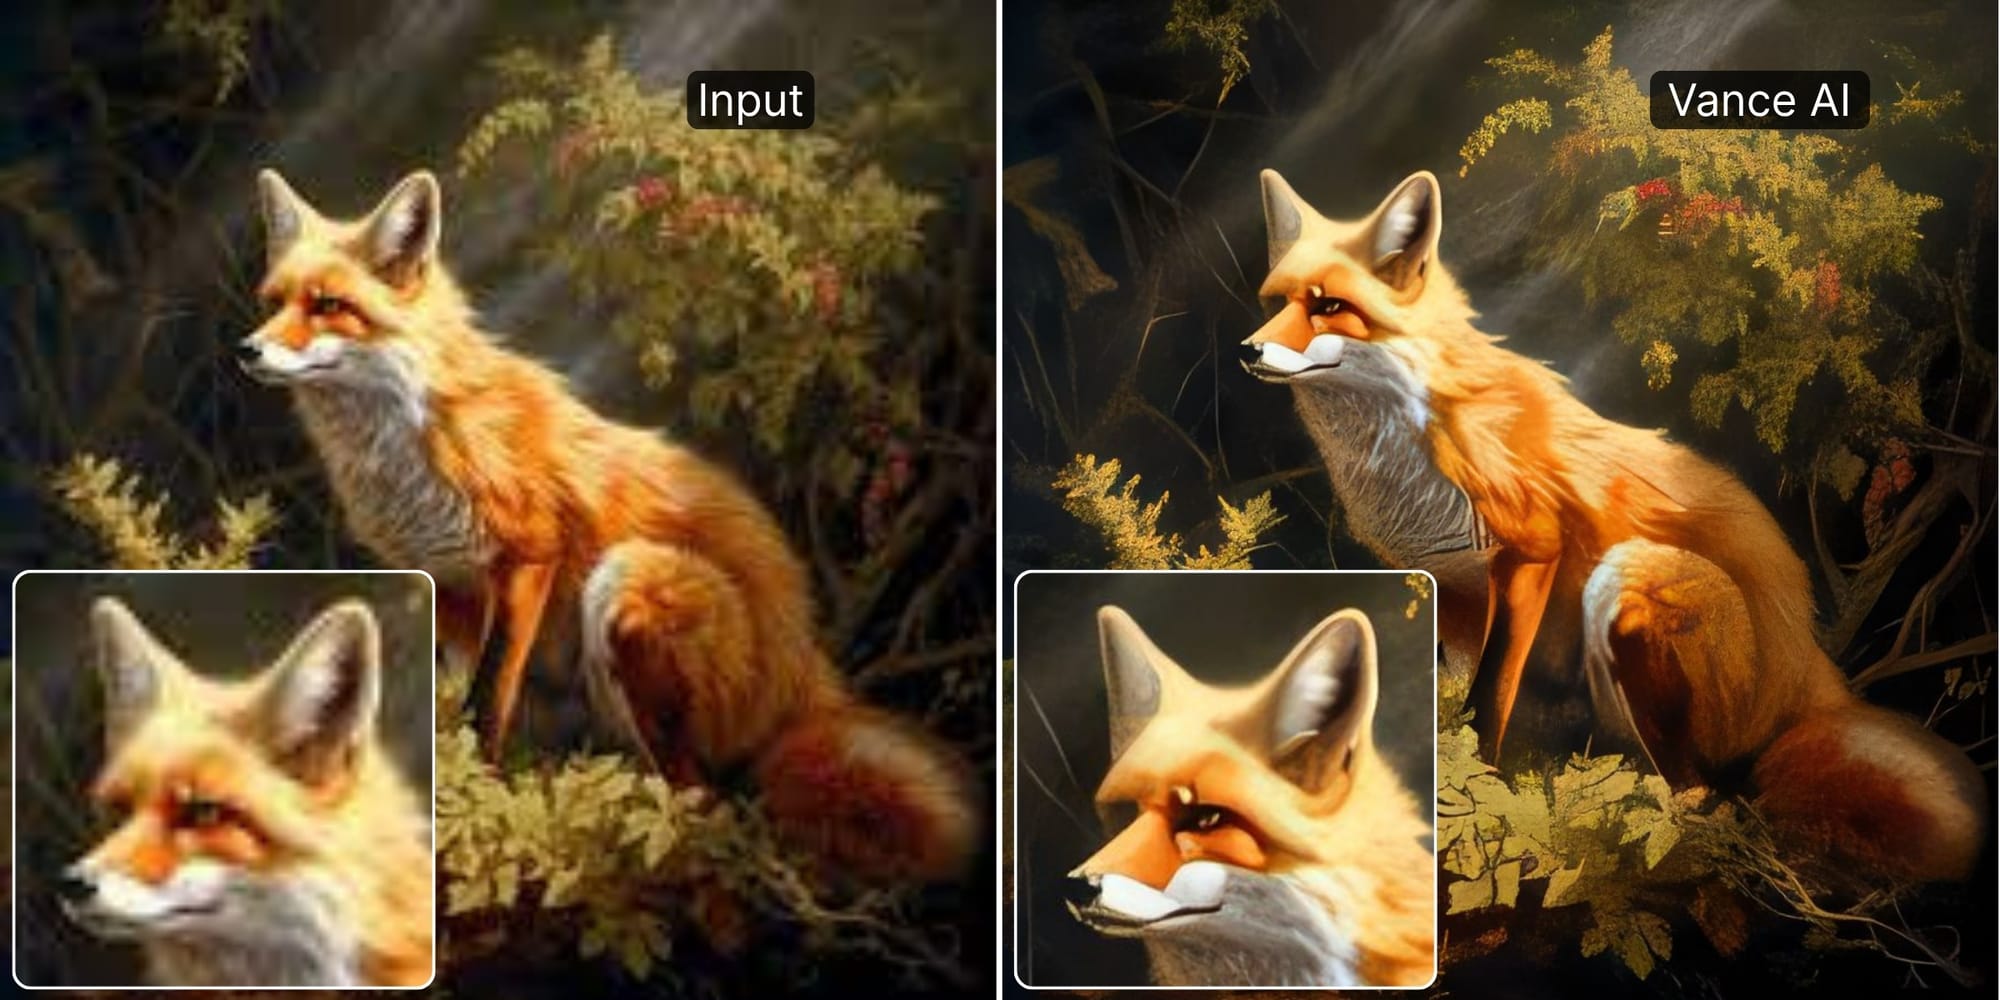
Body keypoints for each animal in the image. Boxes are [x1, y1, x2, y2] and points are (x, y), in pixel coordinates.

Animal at [237, 169, 972, 883]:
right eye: (272, 301)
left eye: (328, 305)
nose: (247, 351)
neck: (412, 437)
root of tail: (804, 658)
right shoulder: (448, 586)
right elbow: (469, 698)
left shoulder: (529, 554)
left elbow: (487, 702)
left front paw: (471, 796)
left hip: (627, 583)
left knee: (704, 797)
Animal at [1239, 167, 1987, 886]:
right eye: (1276, 302)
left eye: (1328, 305)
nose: (1248, 351)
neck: (1404, 452)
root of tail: (1807, 657)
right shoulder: (1447, 589)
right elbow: (1453, 697)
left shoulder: (1529, 551)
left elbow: (1487, 704)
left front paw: (1473, 800)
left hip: (1625, 585)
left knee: (1708, 792)